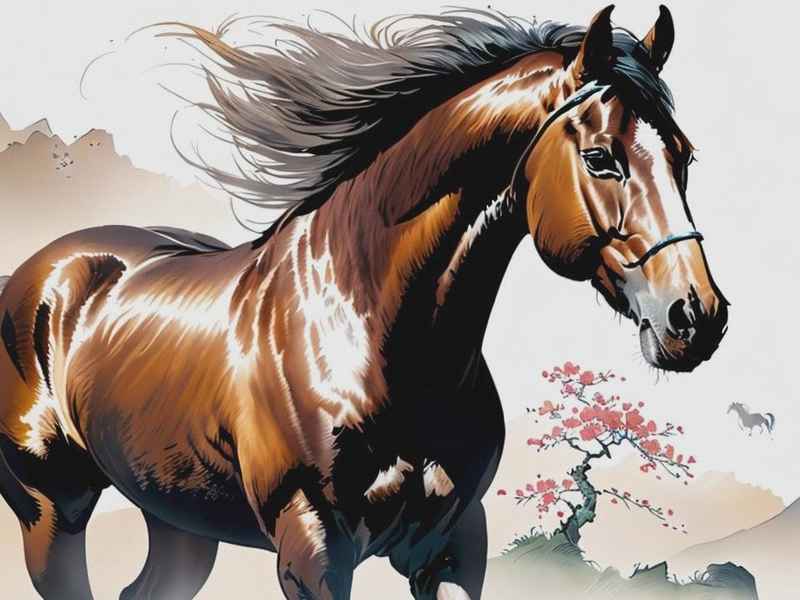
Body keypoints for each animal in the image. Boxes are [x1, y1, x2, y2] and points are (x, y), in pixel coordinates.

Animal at [0, 6, 729, 599]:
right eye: (602, 157)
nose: (696, 316)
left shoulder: (454, 549)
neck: (367, 337)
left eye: (686, 156)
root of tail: (47, 269)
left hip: (179, 518)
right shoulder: (314, 553)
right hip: (52, 512)